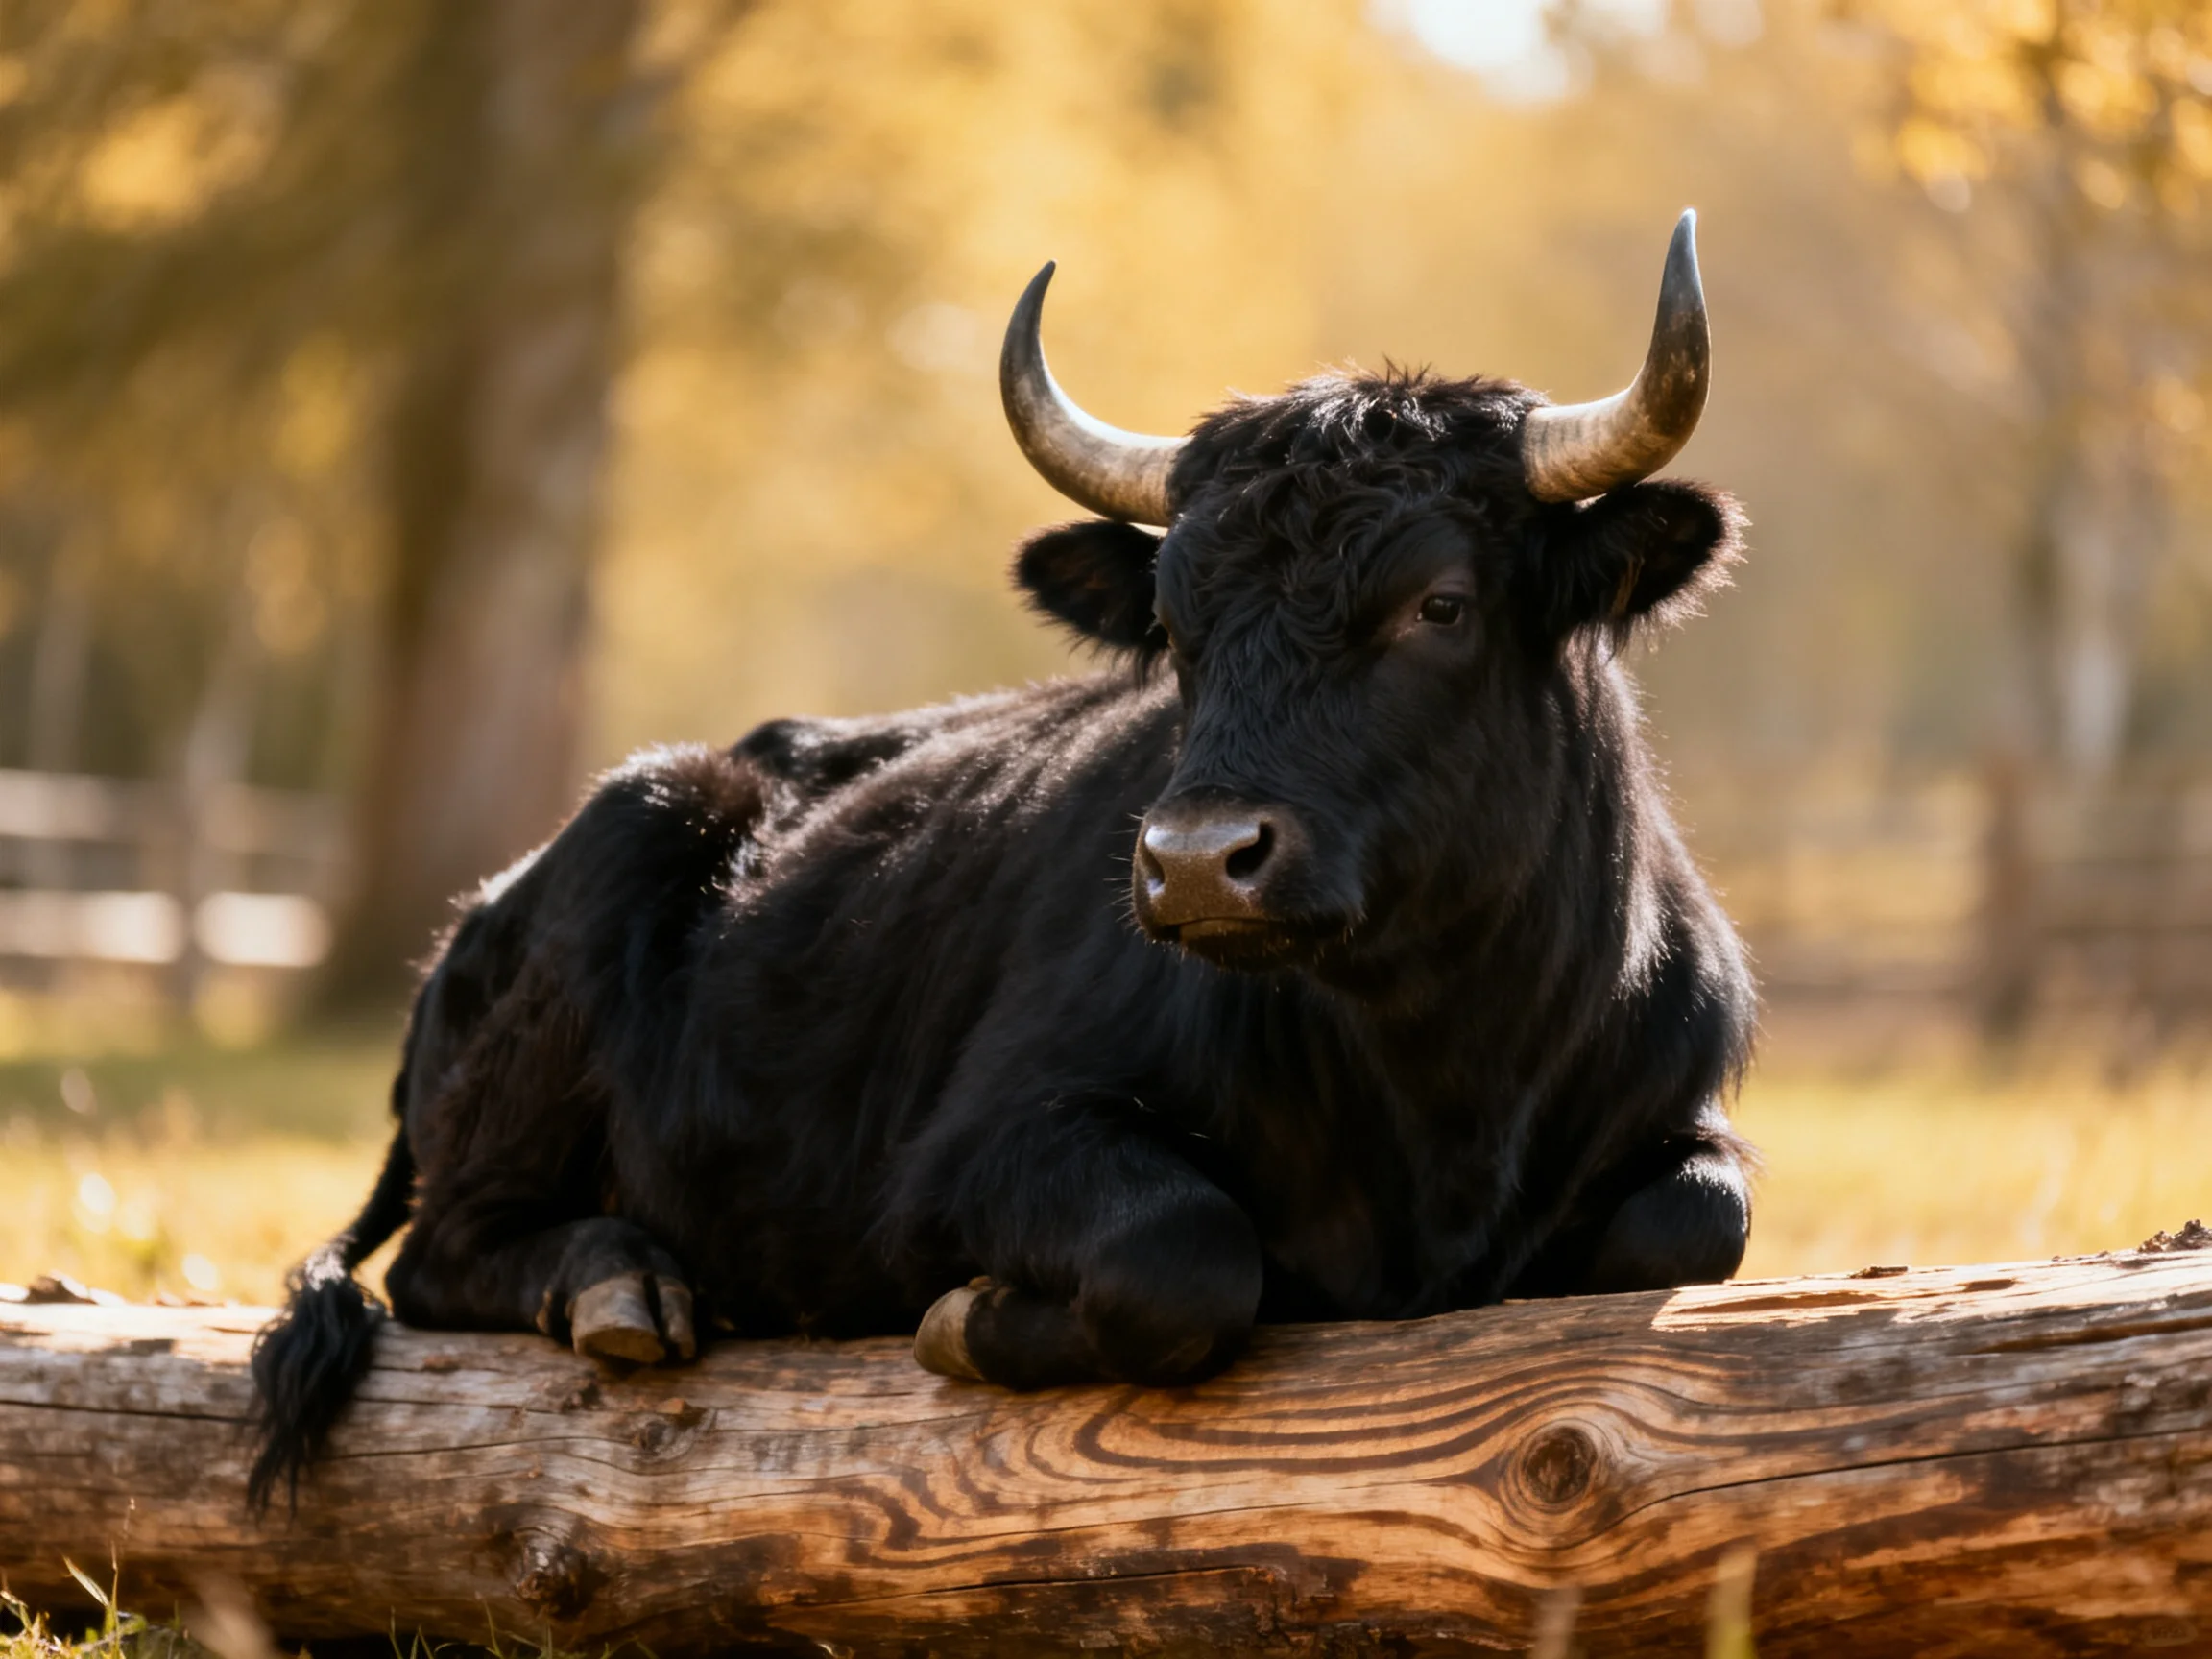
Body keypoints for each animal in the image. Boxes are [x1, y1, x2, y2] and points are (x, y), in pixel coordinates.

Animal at [250, 211, 1756, 1507]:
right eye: (1176, 621)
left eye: (1439, 604)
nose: (1195, 861)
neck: (1442, 1081)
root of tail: (481, 912)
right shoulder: (975, 1149)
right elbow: (1181, 1250)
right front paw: (972, 1321)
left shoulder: (1678, 1123)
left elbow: (1698, 1221)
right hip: (602, 909)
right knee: (440, 1258)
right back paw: (624, 1285)